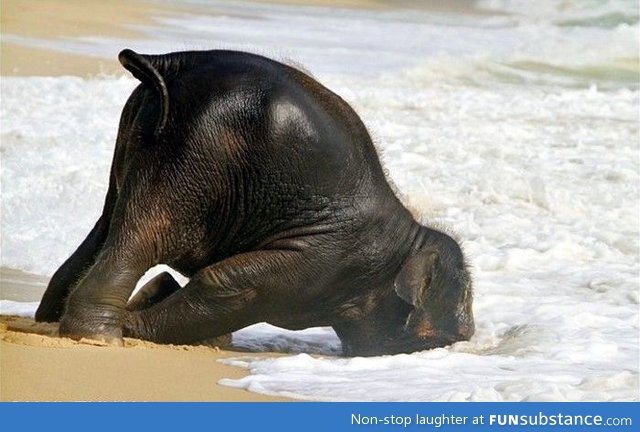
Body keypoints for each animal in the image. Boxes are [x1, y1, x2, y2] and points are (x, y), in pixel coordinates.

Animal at [36, 49, 476, 356]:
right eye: (452, 337)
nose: (468, 336)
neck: (409, 238)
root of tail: (171, 64)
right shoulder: (324, 258)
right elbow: (231, 286)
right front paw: (138, 318)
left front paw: (157, 299)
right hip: (196, 154)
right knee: (148, 233)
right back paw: (100, 337)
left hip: (140, 136)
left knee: (109, 223)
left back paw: (51, 322)